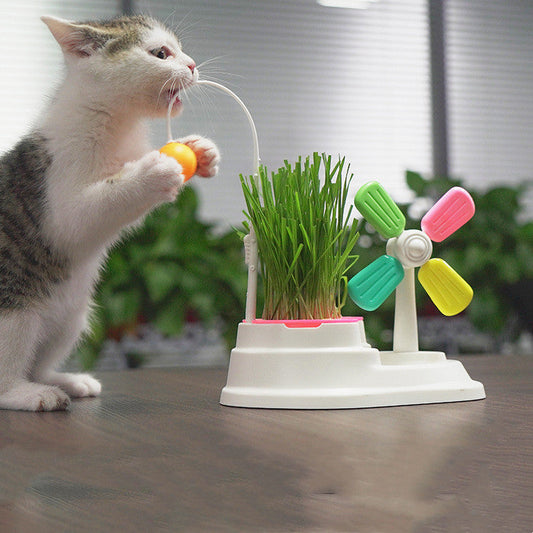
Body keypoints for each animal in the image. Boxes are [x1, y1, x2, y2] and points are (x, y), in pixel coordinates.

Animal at [0, 14, 219, 410]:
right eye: (161, 53)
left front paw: (202, 150)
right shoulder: (59, 189)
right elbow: (84, 214)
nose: (193, 65)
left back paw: (63, 380)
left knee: (41, 358)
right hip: (16, 308)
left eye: (180, 50)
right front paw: (152, 172)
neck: (114, 123)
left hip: (72, 313)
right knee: (8, 367)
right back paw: (29, 393)